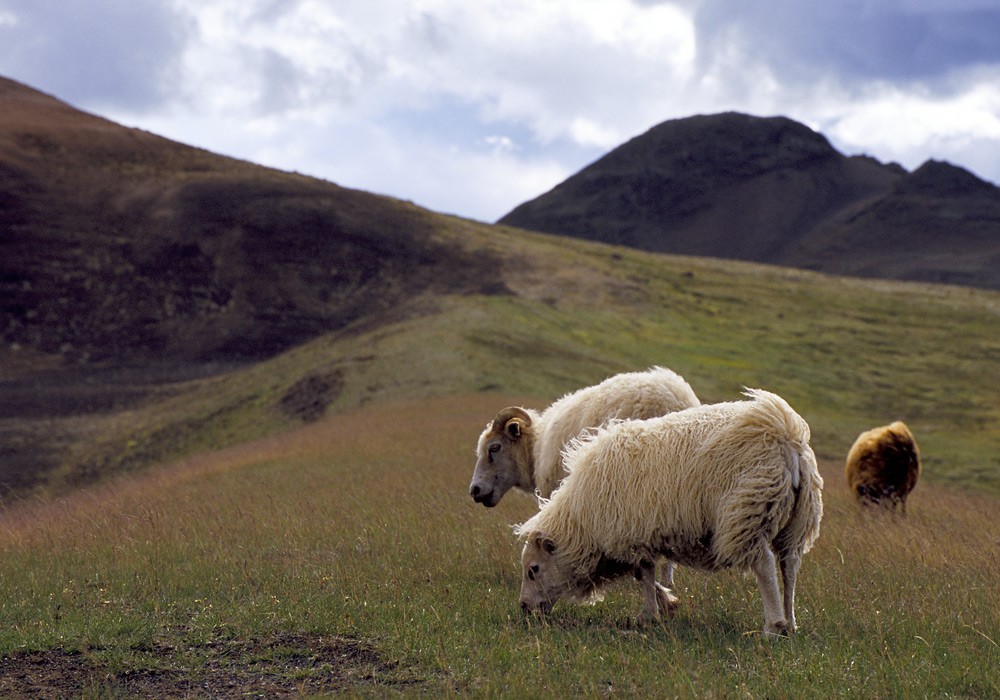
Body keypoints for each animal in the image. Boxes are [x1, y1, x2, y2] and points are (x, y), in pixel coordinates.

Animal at [515, 389, 824, 635]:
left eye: (533, 570)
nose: (524, 607)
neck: (581, 521)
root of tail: (786, 437)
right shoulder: (639, 535)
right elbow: (644, 573)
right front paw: (665, 604)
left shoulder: (630, 533)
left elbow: (644, 573)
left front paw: (649, 614)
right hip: (798, 519)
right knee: (789, 565)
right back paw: (790, 621)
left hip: (747, 512)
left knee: (765, 565)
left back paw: (773, 627)